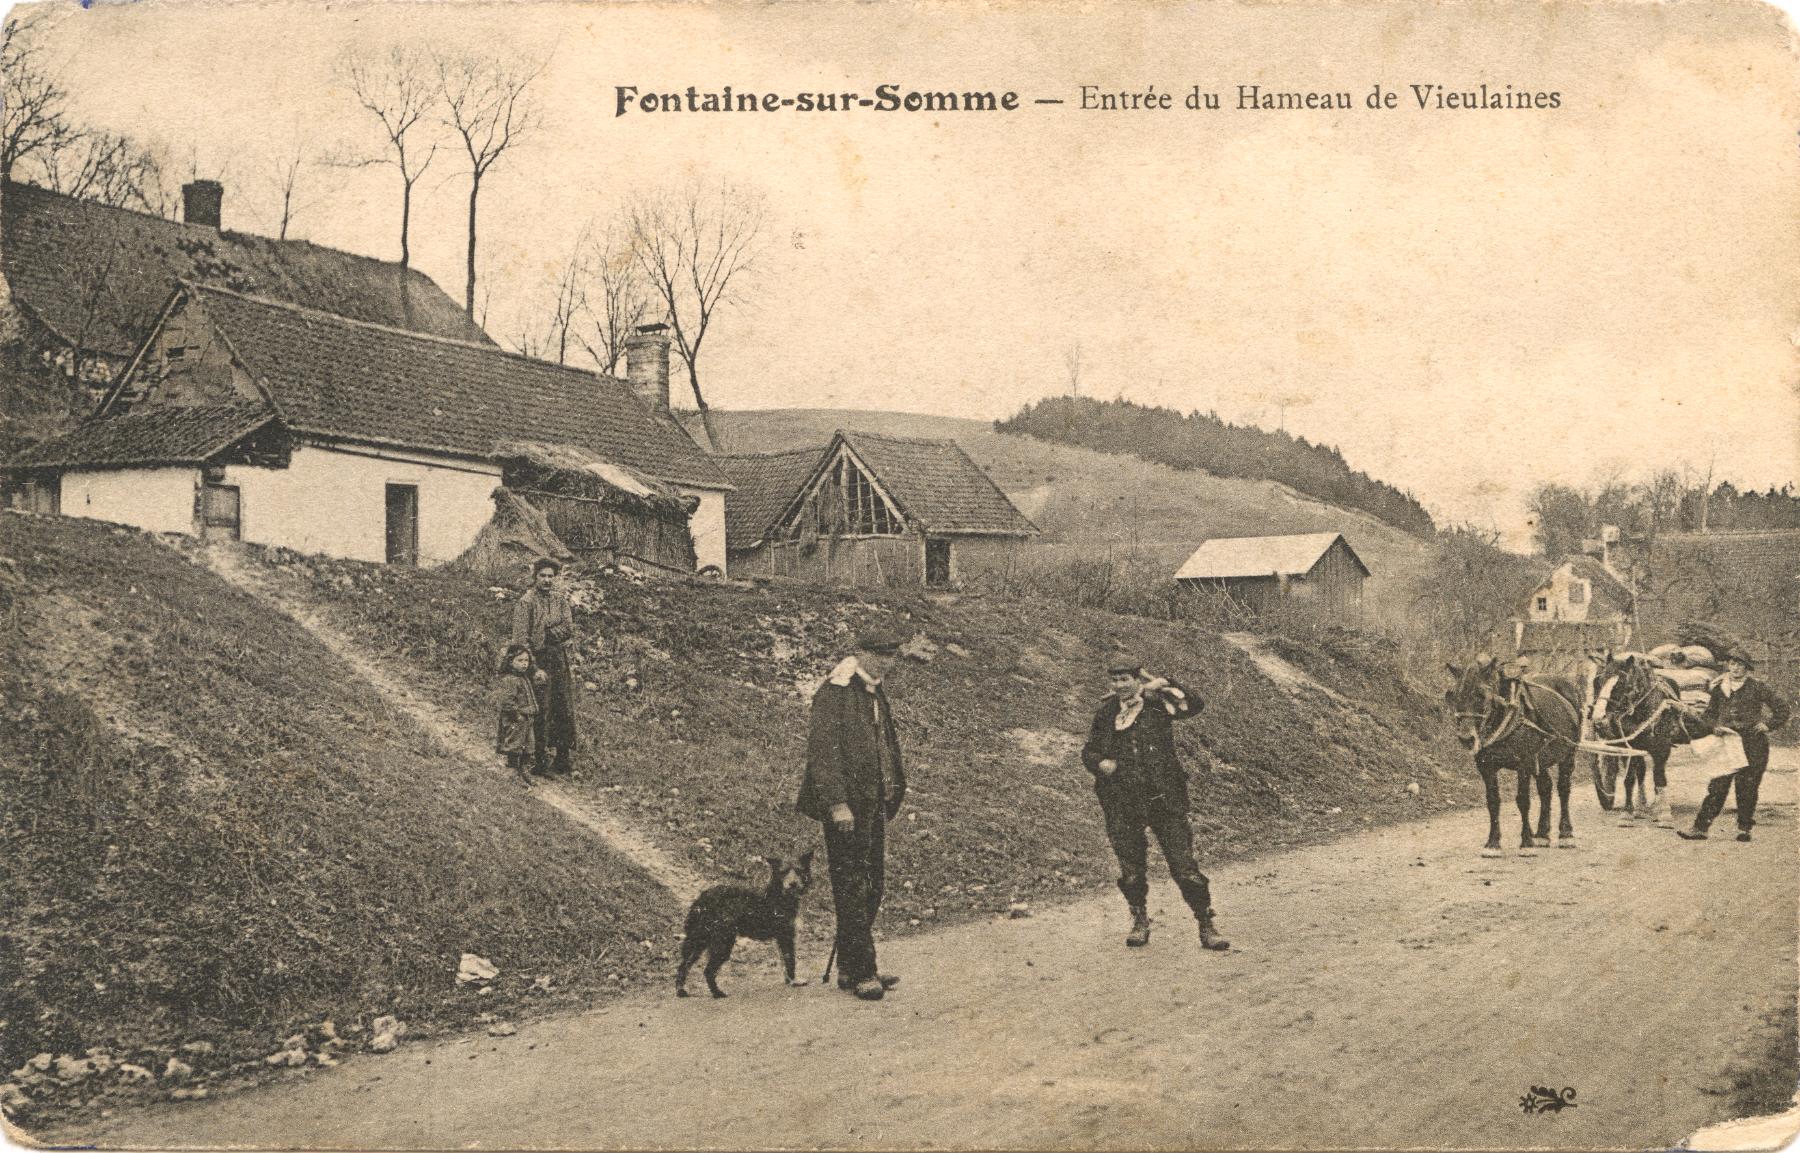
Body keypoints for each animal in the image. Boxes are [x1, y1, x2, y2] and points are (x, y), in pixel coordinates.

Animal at [676, 845, 817, 1000]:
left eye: (799, 870)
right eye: (783, 872)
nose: (793, 884)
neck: (778, 896)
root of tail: (703, 898)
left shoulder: (782, 937)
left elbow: (784, 960)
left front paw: (788, 980)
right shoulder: (786, 935)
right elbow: (790, 960)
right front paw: (793, 981)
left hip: (699, 941)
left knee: (684, 965)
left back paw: (681, 991)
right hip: (722, 942)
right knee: (708, 971)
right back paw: (717, 993)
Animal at [1440, 654, 1584, 856]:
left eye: (1481, 695)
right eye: (1452, 695)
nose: (1466, 738)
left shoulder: (1524, 763)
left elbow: (1523, 801)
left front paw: (1526, 843)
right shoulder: (1486, 766)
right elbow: (1493, 802)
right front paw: (1493, 843)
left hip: (1568, 754)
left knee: (1563, 789)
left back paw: (1565, 834)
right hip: (1540, 760)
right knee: (1545, 788)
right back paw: (1542, 834)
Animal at [1598, 651, 1706, 823]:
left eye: (1621, 683)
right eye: (1599, 681)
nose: (1600, 720)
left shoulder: (1662, 748)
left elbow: (1659, 778)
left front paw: (1664, 812)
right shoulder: (1630, 749)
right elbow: (1630, 779)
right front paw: (1628, 812)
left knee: (1656, 774)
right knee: (1641, 772)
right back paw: (1642, 806)